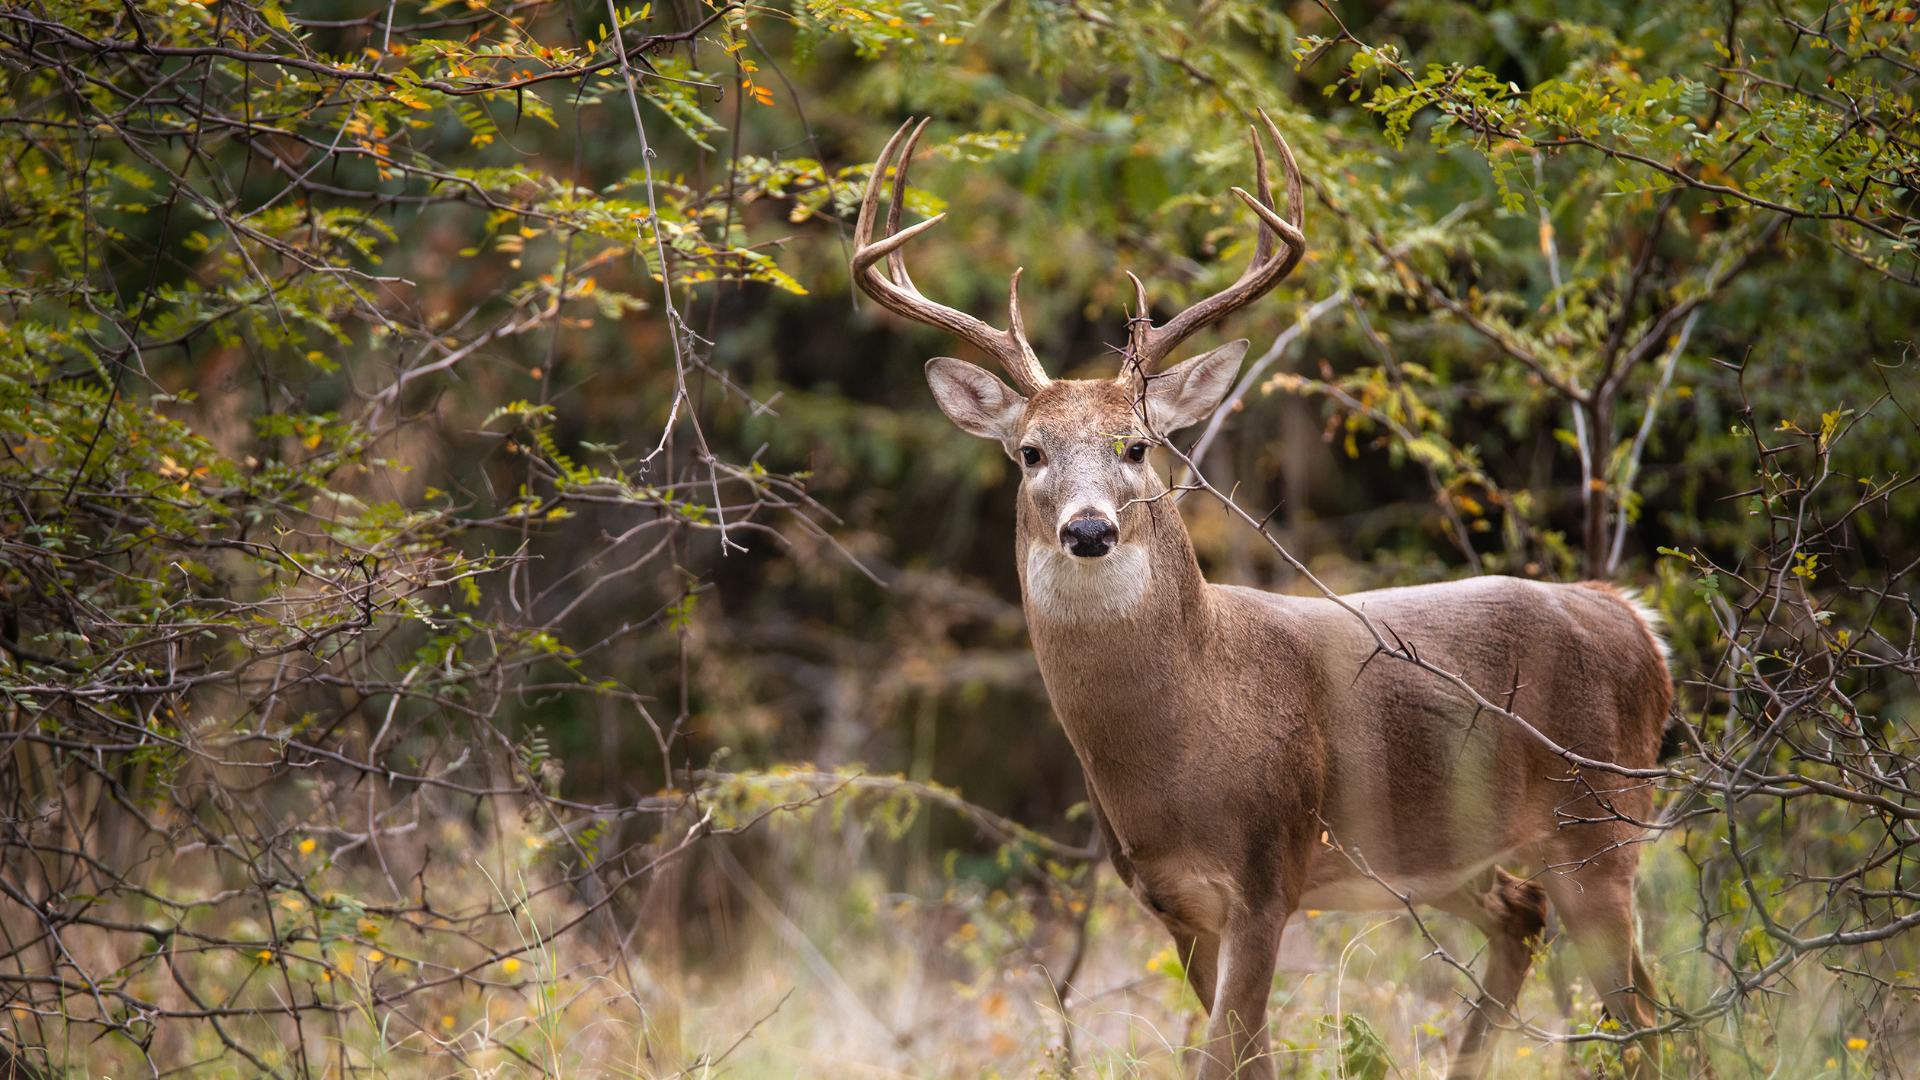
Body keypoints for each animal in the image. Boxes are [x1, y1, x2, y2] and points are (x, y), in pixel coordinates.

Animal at [851, 117, 1673, 1080]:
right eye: (1029, 452)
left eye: (1140, 445)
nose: (1088, 529)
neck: (1189, 728)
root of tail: (1634, 620)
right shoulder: (1174, 903)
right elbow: (1243, 1057)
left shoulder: (1269, 871)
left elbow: (1225, 1055)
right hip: (1460, 856)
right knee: (1540, 929)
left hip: (1601, 824)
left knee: (1640, 1013)